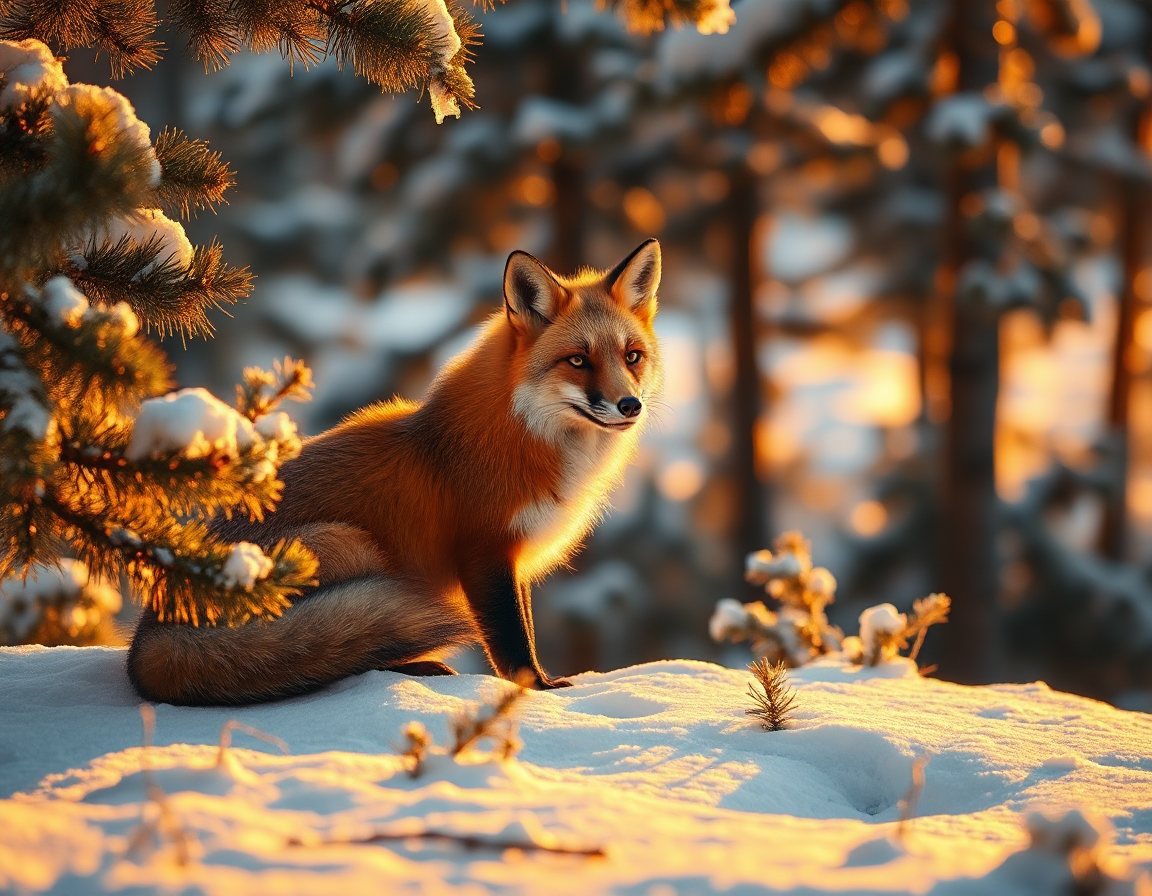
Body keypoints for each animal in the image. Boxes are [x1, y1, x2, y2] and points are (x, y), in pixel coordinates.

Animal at [126, 239, 664, 705]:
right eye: (578, 360)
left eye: (632, 357)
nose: (629, 405)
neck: (524, 435)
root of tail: (149, 628)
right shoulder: (483, 551)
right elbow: (512, 644)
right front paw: (538, 692)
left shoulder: (513, 558)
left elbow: (525, 628)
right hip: (347, 544)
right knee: (336, 655)